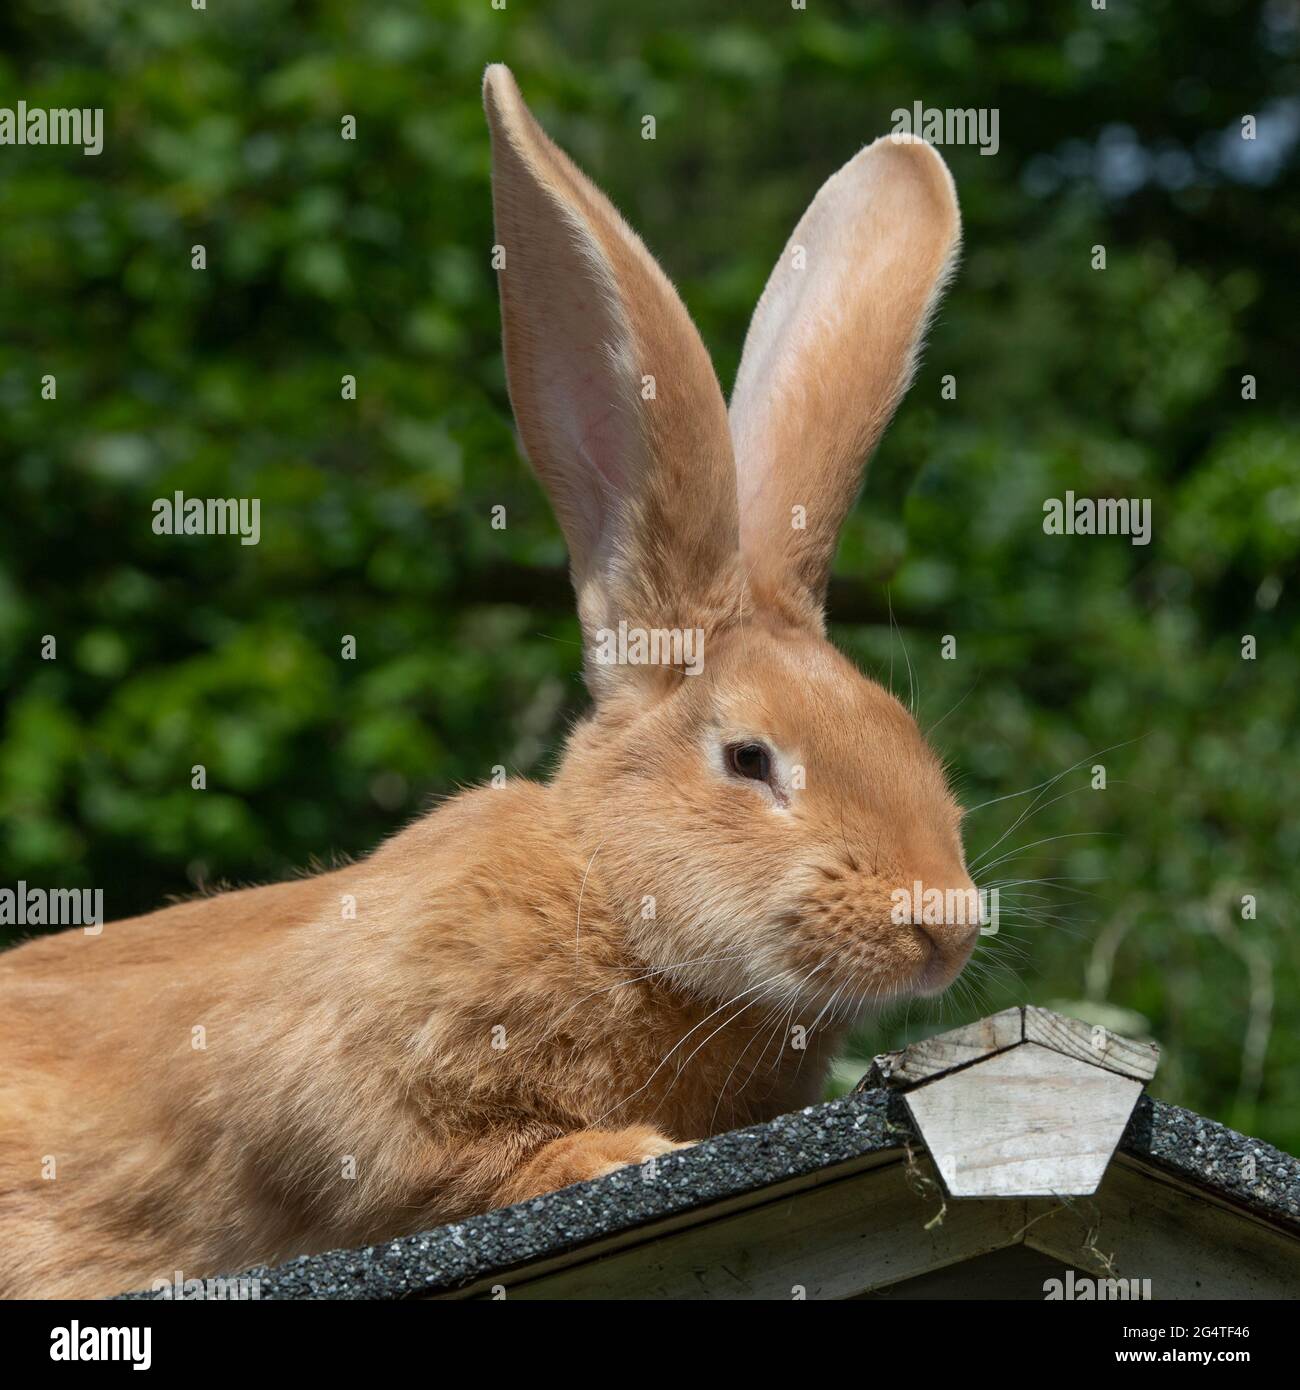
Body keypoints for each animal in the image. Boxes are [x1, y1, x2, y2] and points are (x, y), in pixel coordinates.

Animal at [0, 65, 978, 1301]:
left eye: (905, 731)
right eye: (750, 757)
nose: (946, 923)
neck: (605, 894)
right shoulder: (337, 1103)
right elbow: (442, 1170)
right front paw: (614, 1153)